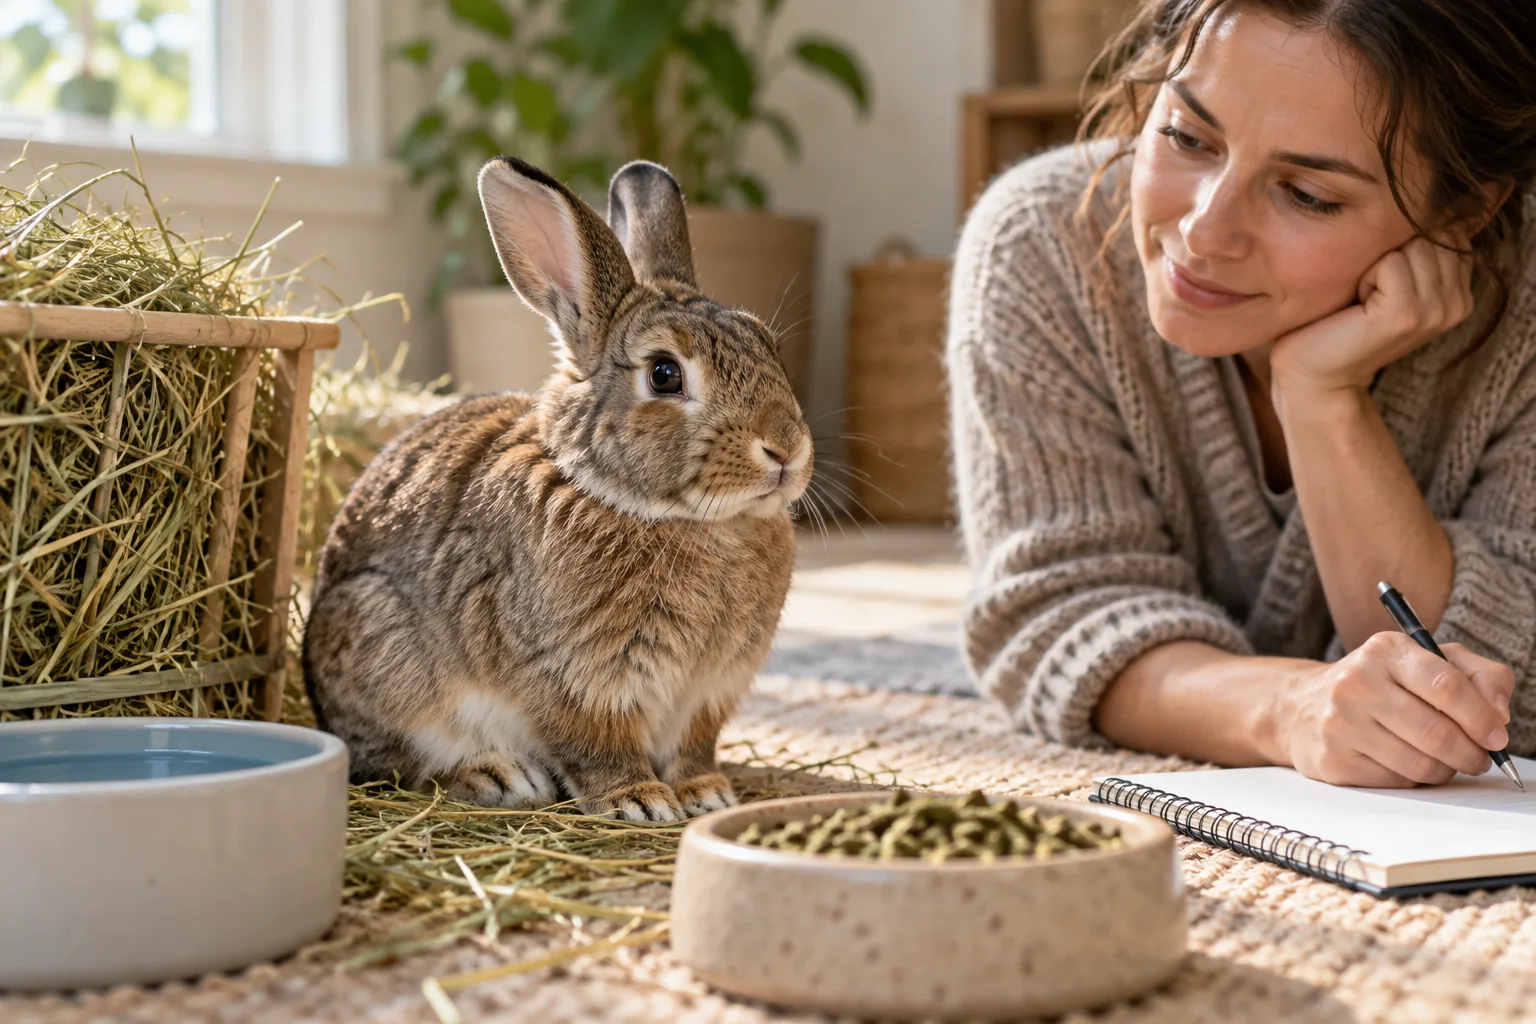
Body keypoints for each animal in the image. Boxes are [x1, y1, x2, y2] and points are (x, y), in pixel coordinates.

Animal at [301, 156, 812, 821]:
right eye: (664, 374)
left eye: (768, 347)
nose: (785, 449)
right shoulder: (574, 677)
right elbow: (594, 742)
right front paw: (638, 800)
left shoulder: (709, 690)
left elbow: (694, 747)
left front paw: (706, 793)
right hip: (384, 653)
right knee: (394, 763)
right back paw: (495, 776)